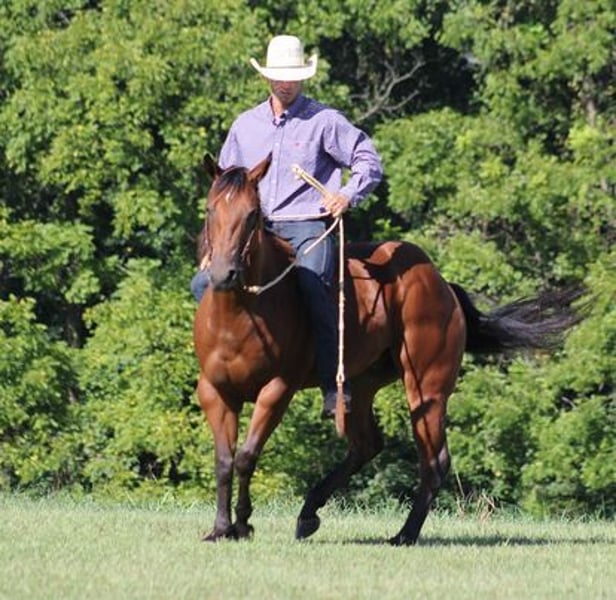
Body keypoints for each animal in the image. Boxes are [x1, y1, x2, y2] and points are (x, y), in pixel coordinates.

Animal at [193, 154, 583, 545]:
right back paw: (308, 514)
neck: (242, 315)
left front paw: (243, 523)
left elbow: (246, 456)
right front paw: (221, 528)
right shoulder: (215, 392)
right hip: (362, 386)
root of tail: (442, 285)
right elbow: (224, 461)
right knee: (367, 445)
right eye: (211, 210)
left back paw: (404, 534)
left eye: (252, 215)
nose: (224, 273)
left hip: (427, 390)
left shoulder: (277, 390)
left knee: (434, 461)